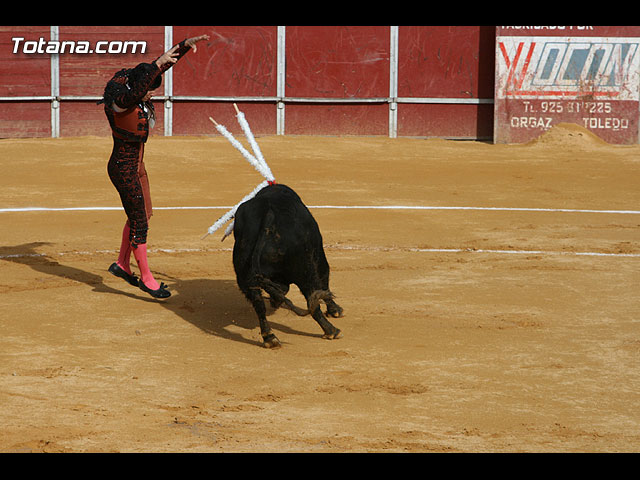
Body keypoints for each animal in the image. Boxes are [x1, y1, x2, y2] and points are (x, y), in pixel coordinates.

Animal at [232, 184, 342, 348]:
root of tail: (268, 215)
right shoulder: (318, 256)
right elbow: (324, 282)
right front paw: (335, 310)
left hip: (245, 275)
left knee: (258, 304)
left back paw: (270, 338)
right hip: (305, 270)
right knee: (313, 301)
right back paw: (331, 331)